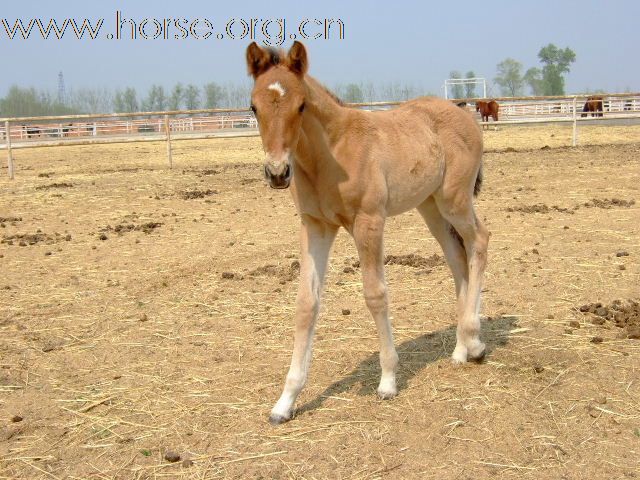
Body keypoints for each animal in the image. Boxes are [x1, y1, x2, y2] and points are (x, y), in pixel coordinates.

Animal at [246, 41, 490, 424]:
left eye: (301, 105)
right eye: (253, 107)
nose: (277, 172)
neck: (331, 153)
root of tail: (465, 114)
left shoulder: (369, 221)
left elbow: (375, 295)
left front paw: (388, 380)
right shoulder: (315, 227)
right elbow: (306, 303)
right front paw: (285, 402)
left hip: (455, 199)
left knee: (479, 241)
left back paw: (474, 340)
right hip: (431, 206)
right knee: (457, 258)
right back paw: (463, 348)